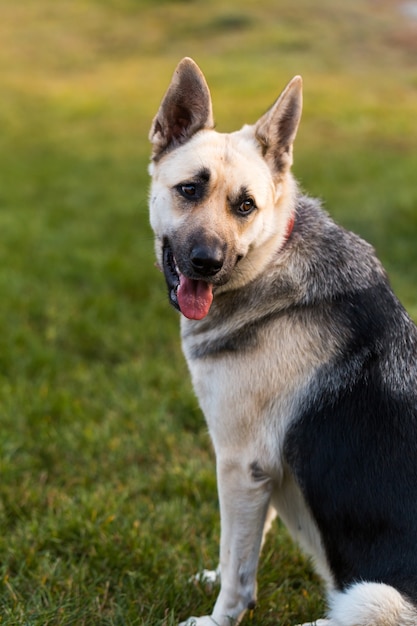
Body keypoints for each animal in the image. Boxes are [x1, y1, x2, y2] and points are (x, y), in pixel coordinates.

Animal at [147, 56, 416, 620]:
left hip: (374, 598)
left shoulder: (240, 464)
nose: (206, 262)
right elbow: (237, 552)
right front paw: (213, 580)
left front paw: (216, 620)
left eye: (245, 206)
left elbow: (239, 569)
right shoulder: (258, 472)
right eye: (189, 190)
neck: (270, 260)